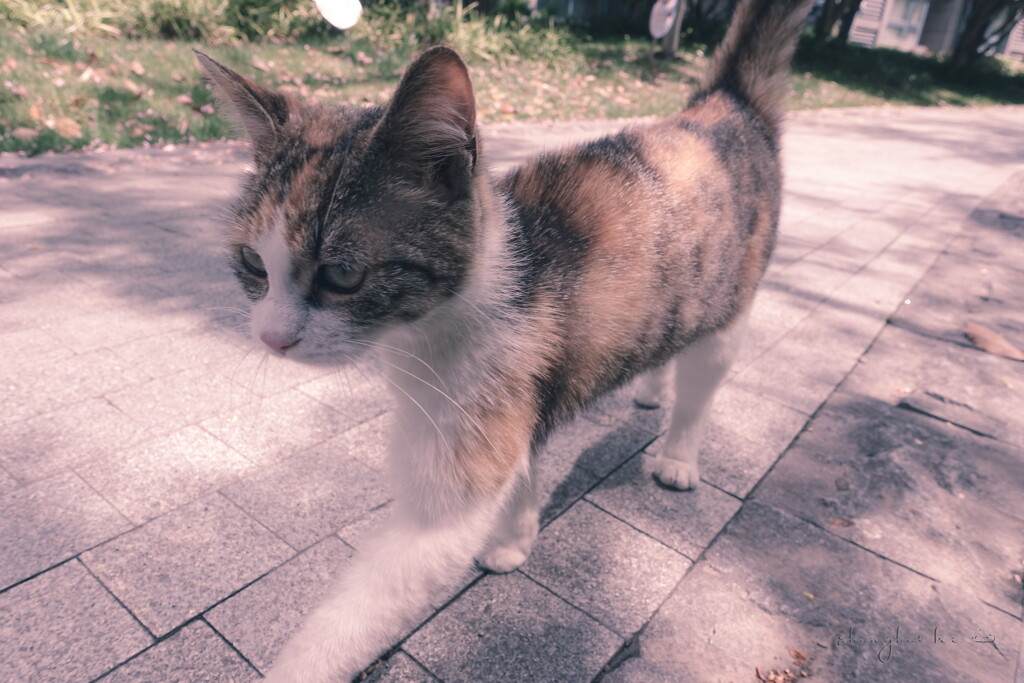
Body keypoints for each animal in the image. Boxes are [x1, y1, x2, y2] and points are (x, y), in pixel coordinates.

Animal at [195, 1, 811, 679]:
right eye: (253, 263)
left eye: (343, 275)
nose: (270, 338)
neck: (426, 329)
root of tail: (725, 104)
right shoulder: (513, 397)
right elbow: (521, 467)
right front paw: (514, 540)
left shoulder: (487, 403)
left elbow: (375, 593)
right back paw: (651, 387)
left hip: (733, 300)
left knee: (705, 379)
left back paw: (677, 454)